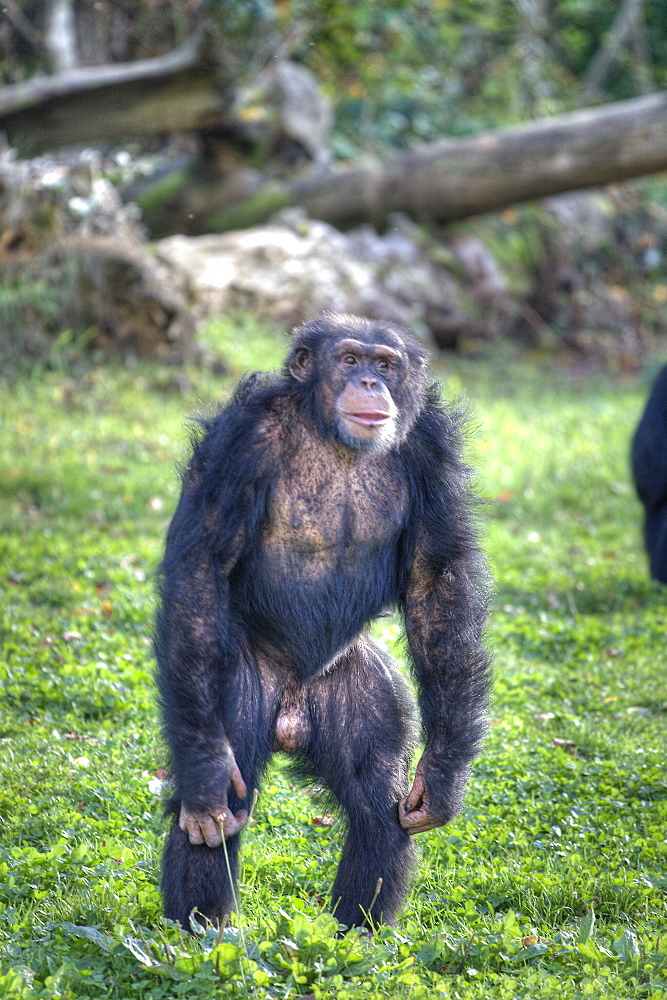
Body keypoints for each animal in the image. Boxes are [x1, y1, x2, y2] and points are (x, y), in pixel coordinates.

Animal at [157, 312, 490, 928]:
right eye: (349, 359)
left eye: (385, 363)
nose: (369, 383)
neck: (334, 441)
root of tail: (293, 710)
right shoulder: (239, 441)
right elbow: (203, 567)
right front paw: (206, 777)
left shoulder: (433, 451)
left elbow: (437, 584)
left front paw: (441, 777)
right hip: (236, 685)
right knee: (223, 808)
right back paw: (201, 932)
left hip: (359, 692)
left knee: (377, 804)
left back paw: (355, 932)